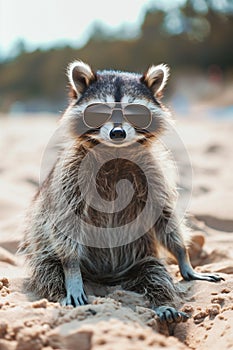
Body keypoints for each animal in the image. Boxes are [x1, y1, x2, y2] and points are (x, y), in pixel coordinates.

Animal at [18, 59, 224, 322]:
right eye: (100, 111)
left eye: (134, 112)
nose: (118, 133)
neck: (114, 151)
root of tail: (107, 278)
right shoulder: (71, 175)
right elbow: (66, 225)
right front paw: (72, 275)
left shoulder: (153, 173)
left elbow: (165, 218)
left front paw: (183, 257)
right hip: (45, 253)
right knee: (49, 271)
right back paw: (62, 290)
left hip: (140, 260)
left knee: (156, 275)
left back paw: (164, 303)